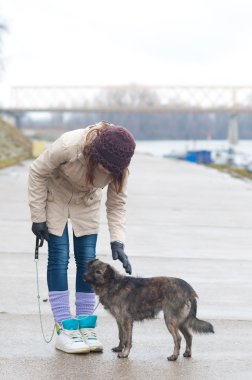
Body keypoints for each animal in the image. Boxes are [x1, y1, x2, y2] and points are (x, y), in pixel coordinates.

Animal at [83, 260, 214, 360]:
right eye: (90, 268)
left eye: (98, 272)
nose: (84, 275)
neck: (112, 284)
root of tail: (189, 289)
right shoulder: (119, 320)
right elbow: (121, 336)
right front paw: (119, 348)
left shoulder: (126, 321)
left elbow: (127, 339)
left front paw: (125, 353)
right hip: (180, 321)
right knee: (189, 336)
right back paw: (187, 353)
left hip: (170, 320)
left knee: (178, 338)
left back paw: (174, 356)